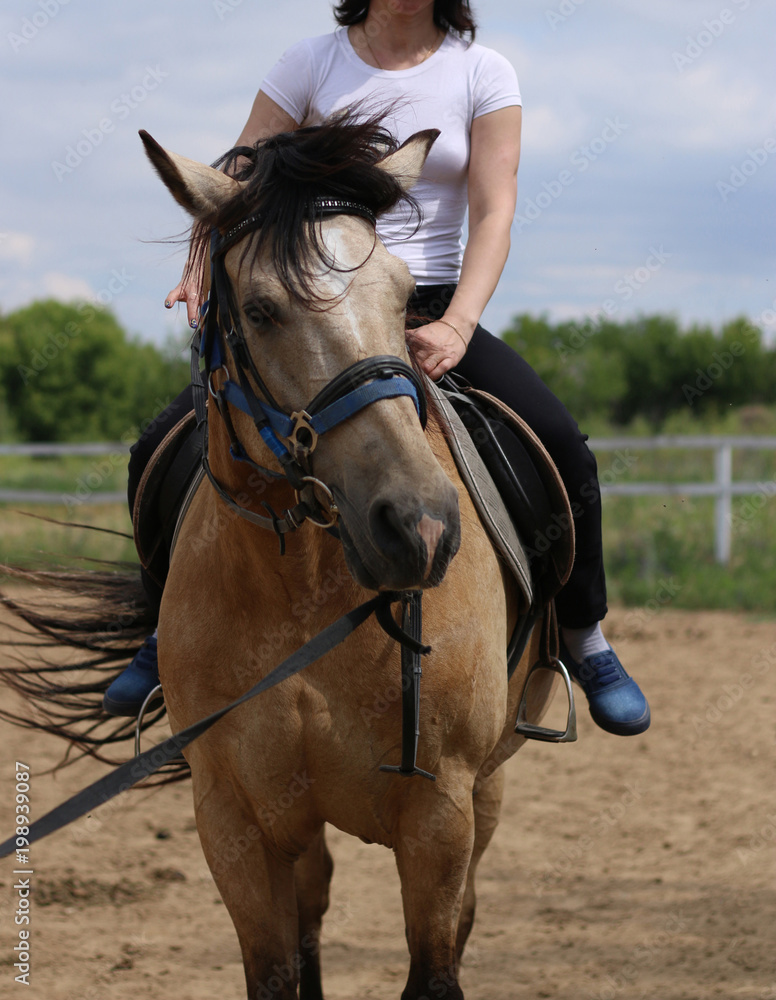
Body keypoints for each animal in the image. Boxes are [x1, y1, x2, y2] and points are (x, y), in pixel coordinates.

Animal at [1, 113, 558, 1000]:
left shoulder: (441, 816)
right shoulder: (234, 818)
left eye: (403, 296)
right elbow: (277, 966)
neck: (303, 588)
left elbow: (436, 964)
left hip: (490, 782)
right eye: (260, 310)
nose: (418, 525)